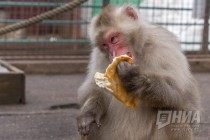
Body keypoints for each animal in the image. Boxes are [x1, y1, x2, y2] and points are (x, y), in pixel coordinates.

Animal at [76, 4, 200, 140]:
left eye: (113, 39)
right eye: (104, 45)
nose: (111, 54)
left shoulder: (163, 44)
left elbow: (182, 94)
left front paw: (134, 78)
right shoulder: (98, 56)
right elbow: (97, 88)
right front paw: (89, 113)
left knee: (172, 113)